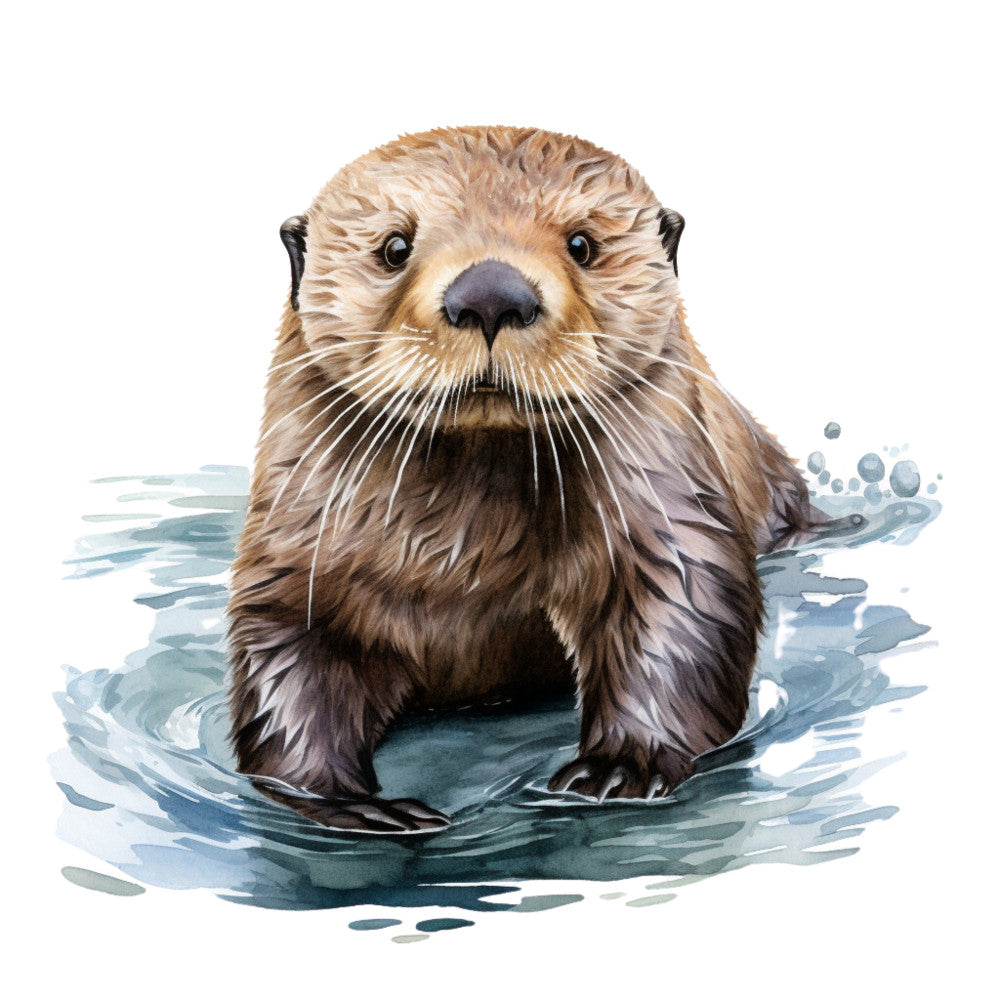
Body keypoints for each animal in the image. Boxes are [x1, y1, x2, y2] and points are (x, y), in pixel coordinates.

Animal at [227, 126, 813, 833]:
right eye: (395, 248)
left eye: (582, 245)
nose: (490, 294)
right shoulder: (302, 536)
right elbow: (291, 642)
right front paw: (349, 805)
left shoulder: (665, 487)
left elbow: (681, 602)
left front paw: (619, 768)